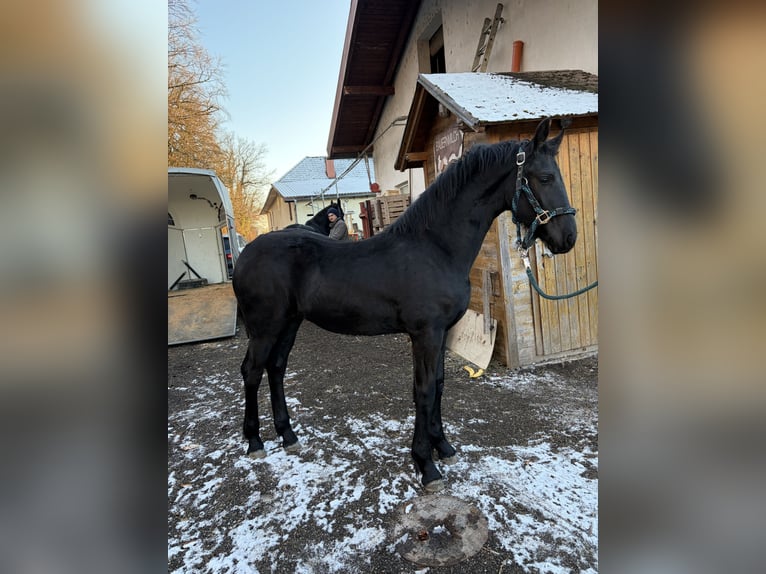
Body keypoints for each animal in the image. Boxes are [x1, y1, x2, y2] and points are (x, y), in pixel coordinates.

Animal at [232, 118, 577, 492]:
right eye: (545, 177)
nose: (568, 237)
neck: (435, 247)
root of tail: (247, 254)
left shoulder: (443, 332)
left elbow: (438, 384)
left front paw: (444, 447)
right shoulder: (425, 334)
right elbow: (423, 390)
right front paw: (426, 465)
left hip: (289, 323)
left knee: (276, 368)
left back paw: (288, 435)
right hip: (265, 328)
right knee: (252, 371)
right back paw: (255, 441)